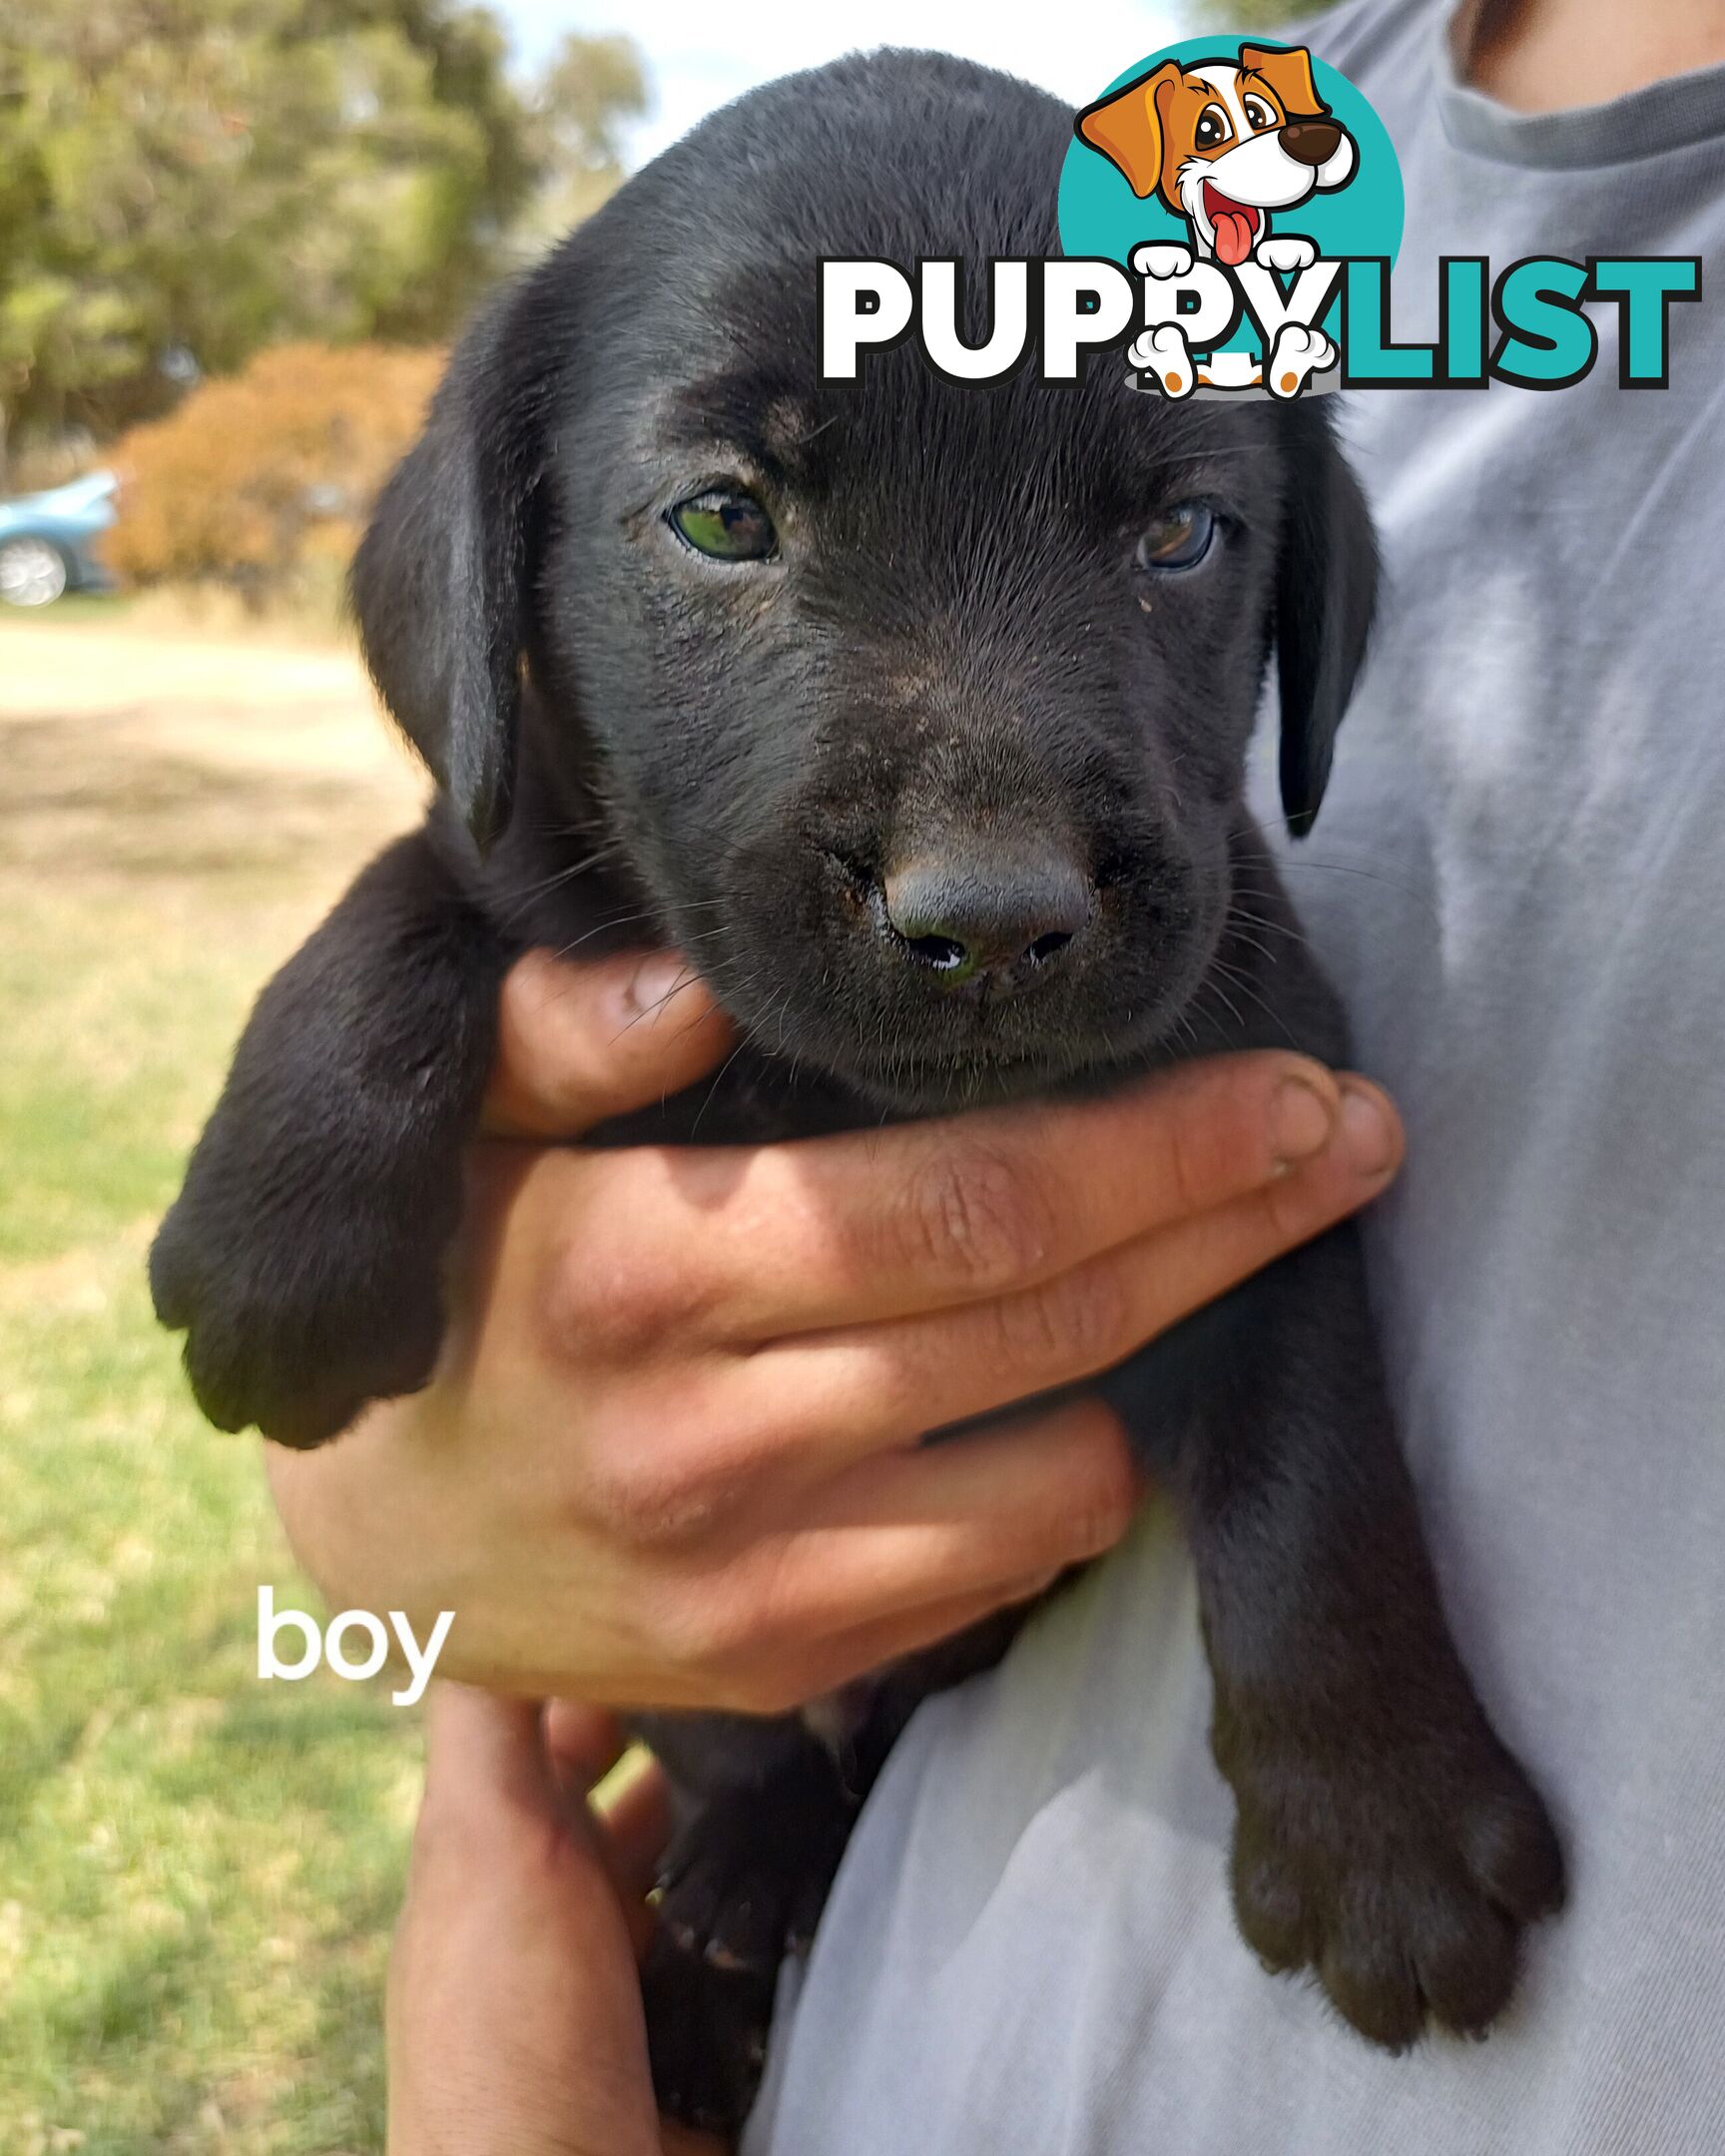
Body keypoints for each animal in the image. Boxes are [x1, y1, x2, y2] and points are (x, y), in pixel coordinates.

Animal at [155, 50, 1569, 2138]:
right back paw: (714, 1936)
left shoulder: (1276, 1125)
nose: (988, 914)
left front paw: (1378, 1818)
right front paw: (278, 1246)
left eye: (1179, 537)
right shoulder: (529, 865)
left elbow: (1317, 1474)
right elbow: (410, 888)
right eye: (722, 518)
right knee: (738, 1746)